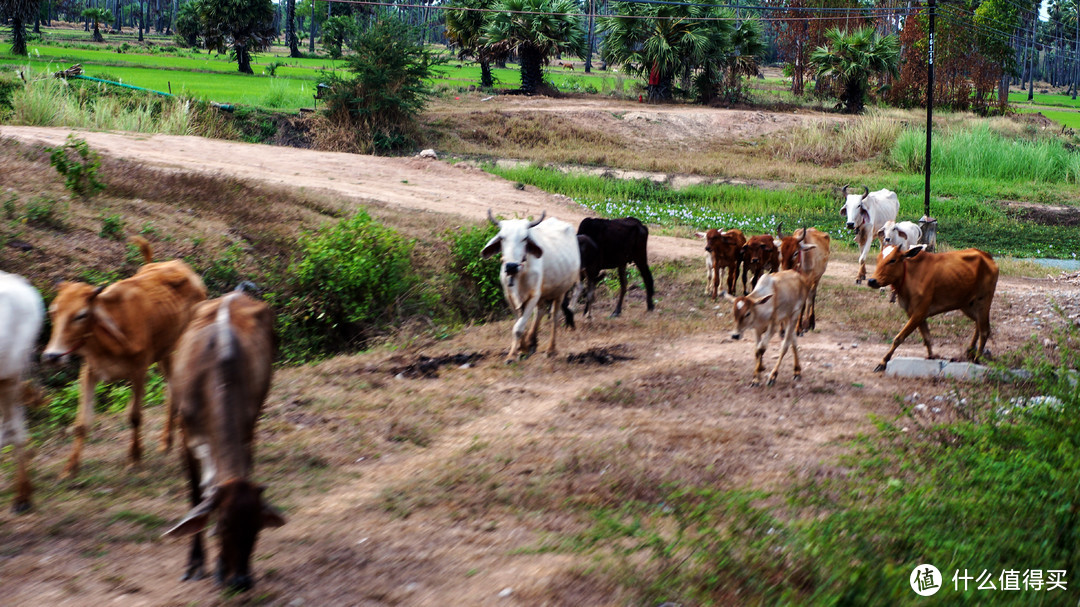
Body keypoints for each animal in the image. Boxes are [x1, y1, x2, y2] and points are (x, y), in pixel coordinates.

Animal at [42, 236, 206, 477]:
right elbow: (81, 423)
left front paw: (135, 458)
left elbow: (134, 416)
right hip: (164, 353)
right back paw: (166, 440)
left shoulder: (139, 371)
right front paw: (70, 467)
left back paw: (170, 439)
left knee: (177, 387)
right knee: (172, 388)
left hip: (178, 348)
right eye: (53, 311)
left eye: (81, 315)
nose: (52, 355)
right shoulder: (90, 371)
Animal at [162, 287, 285, 591]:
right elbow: (197, 497)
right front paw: (196, 563)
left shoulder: (248, 431)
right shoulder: (187, 439)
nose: (240, 580)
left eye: (257, 526)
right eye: (223, 524)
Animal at [483, 209, 583, 358]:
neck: (520, 273)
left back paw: (550, 349)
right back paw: (532, 341)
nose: (511, 266)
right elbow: (519, 323)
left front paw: (512, 355)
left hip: (560, 291)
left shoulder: (533, 295)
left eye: (525, 238)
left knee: (554, 316)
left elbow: (518, 327)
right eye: (502, 237)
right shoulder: (510, 296)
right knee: (540, 311)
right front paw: (522, 347)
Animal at [864, 243, 997, 371]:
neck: (909, 276)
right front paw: (931, 357)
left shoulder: (919, 312)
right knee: (978, 324)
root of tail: (987, 256)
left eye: (892, 260)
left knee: (985, 330)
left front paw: (883, 362)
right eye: (878, 259)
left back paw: (976, 358)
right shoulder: (914, 313)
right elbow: (927, 338)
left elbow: (899, 338)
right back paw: (970, 352)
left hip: (984, 302)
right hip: (967, 304)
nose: (872, 281)